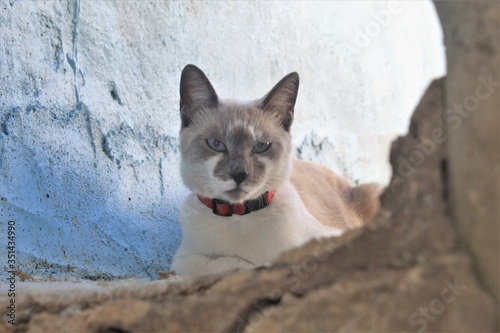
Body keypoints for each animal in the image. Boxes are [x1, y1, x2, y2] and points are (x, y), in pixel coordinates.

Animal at [170, 64, 376, 274]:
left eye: (261, 146)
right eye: (216, 144)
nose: (239, 174)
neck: (238, 215)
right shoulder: (183, 261)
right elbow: (230, 264)